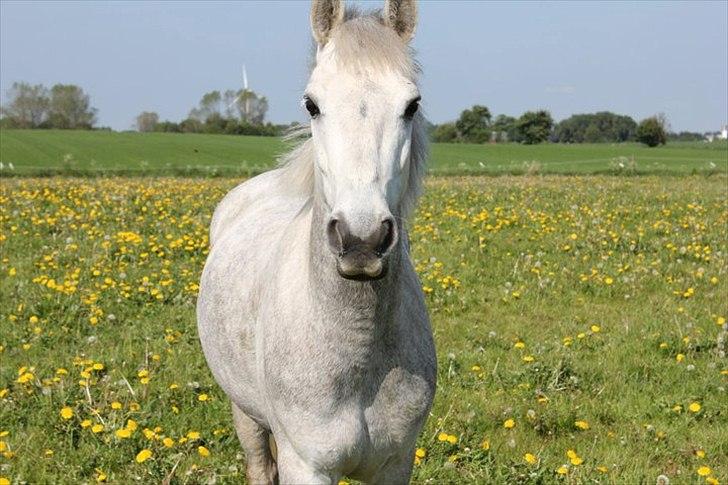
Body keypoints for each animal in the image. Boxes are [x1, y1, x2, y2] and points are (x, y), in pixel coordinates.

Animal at [198, 1, 438, 482]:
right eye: (312, 104)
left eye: (412, 105)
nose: (362, 240)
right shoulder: (306, 464)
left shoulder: (395, 463)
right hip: (244, 412)